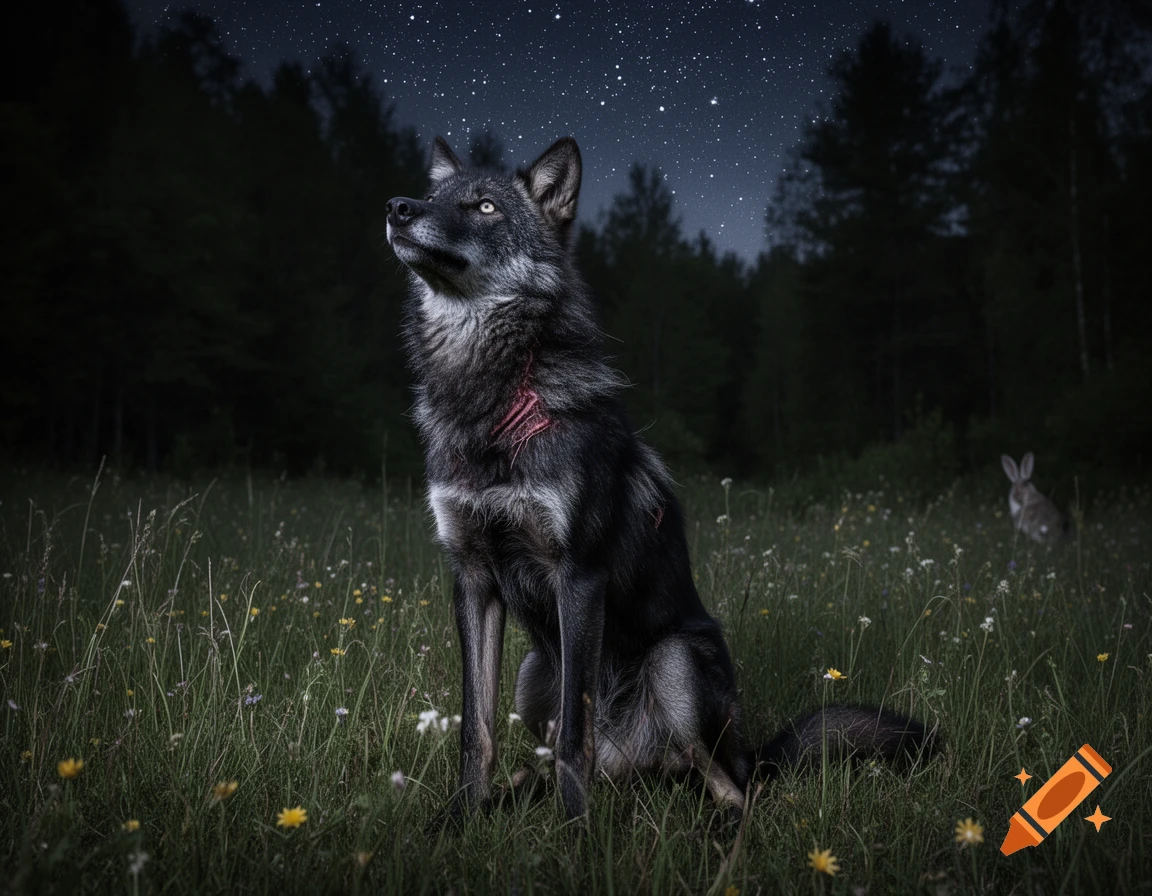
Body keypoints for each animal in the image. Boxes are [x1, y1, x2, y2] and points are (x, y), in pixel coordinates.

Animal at [385, 136, 933, 822]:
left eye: (484, 206)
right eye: (432, 195)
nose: (398, 207)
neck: (492, 404)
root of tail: (633, 764)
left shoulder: (579, 574)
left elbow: (575, 738)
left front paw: (576, 833)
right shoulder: (472, 578)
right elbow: (475, 730)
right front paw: (461, 821)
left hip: (675, 668)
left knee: (726, 781)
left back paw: (719, 825)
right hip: (535, 671)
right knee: (570, 757)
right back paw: (519, 793)